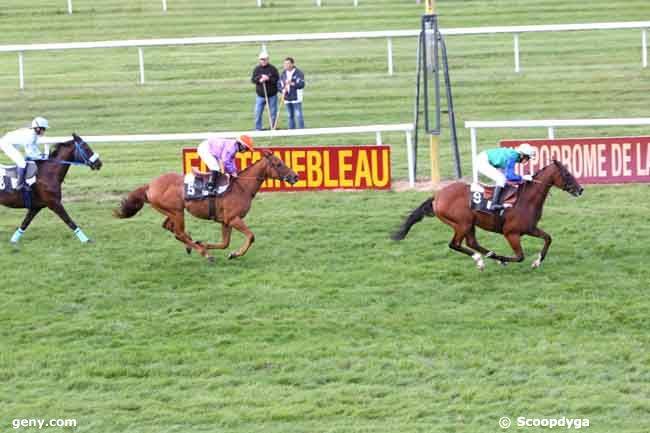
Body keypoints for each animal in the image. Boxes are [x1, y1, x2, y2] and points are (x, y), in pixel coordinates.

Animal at [114, 148, 298, 264]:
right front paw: (234, 254)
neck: (242, 187)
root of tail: (149, 186)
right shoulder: (234, 219)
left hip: (172, 211)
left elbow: (225, 243)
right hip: (176, 211)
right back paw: (205, 254)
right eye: (278, 163)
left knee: (169, 227)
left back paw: (192, 245)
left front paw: (206, 244)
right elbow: (250, 236)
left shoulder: (226, 221)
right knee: (179, 232)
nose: (295, 176)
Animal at [390, 160, 584, 268]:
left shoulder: (530, 228)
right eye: (567, 173)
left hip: (469, 224)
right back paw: (481, 260)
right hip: (462, 223)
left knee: (471, 243)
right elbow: (520, 256)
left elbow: (548, 238)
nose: (580, 189)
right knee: (455, 244)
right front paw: (505, 259)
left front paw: (537, 261)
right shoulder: (511, 233)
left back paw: (490, 256)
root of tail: (437, 196)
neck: (526, 200)